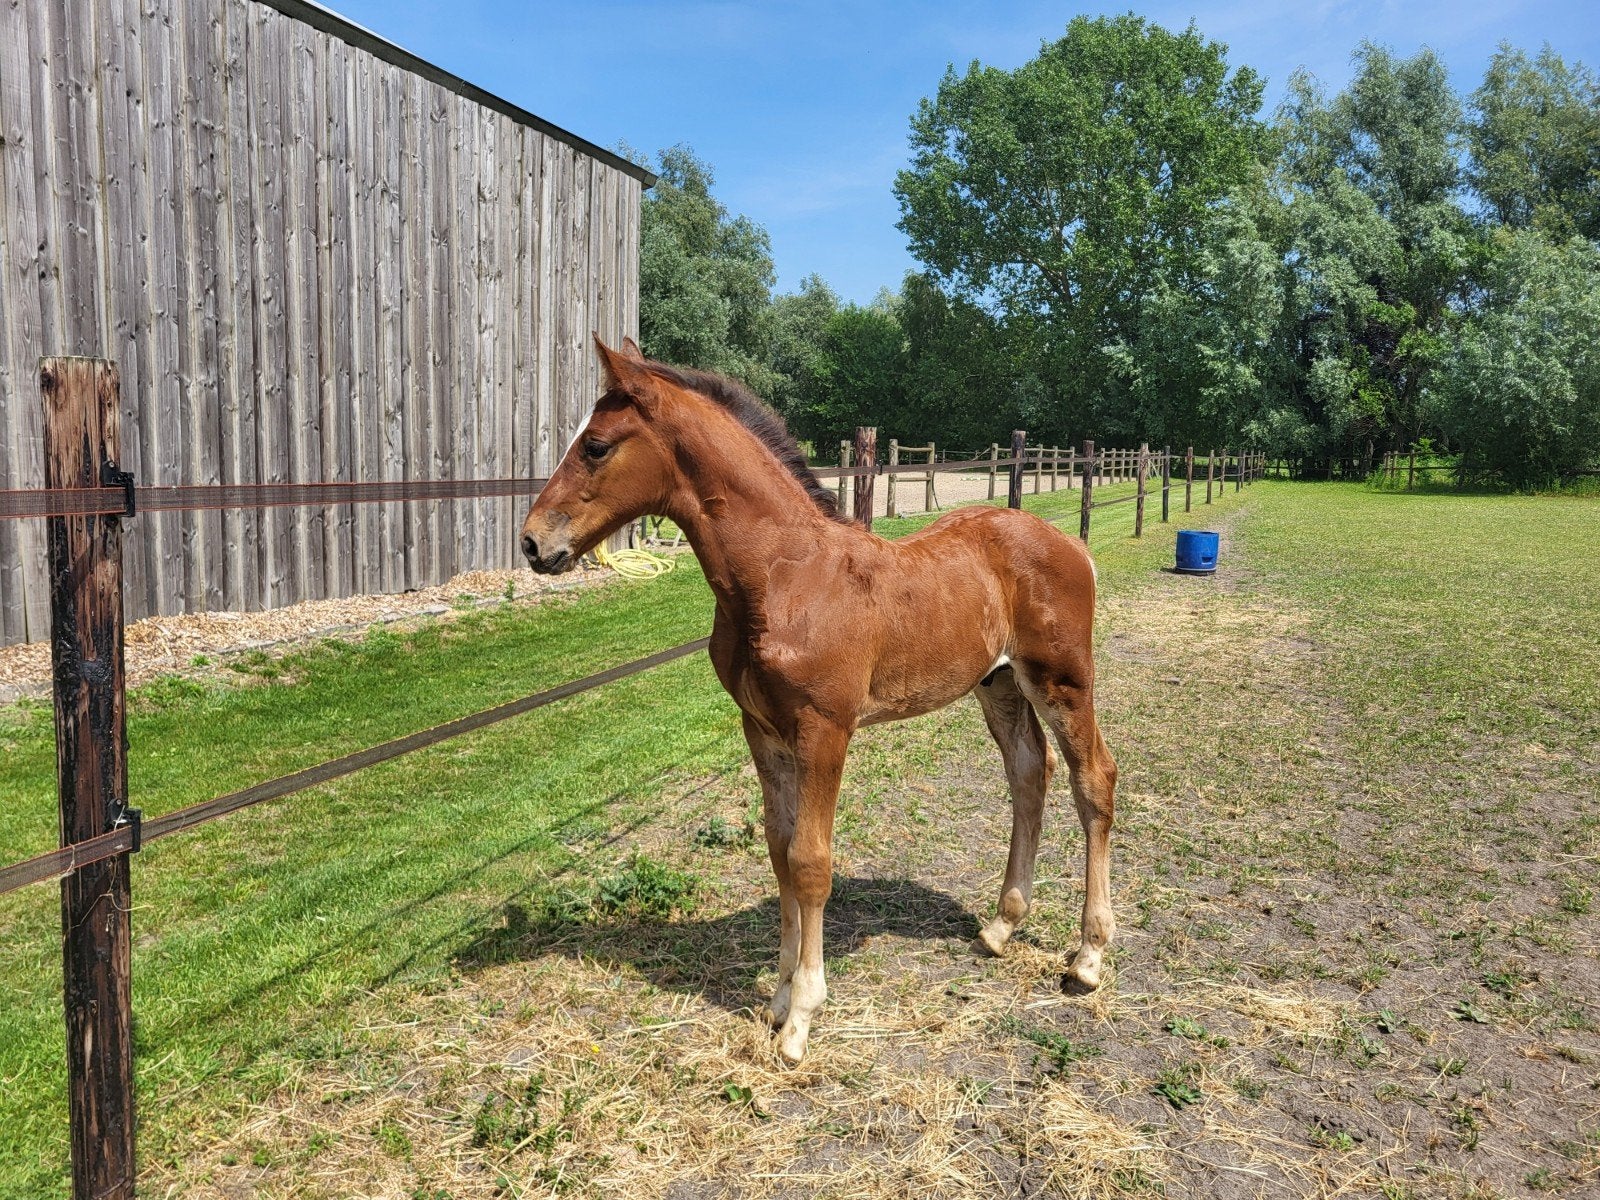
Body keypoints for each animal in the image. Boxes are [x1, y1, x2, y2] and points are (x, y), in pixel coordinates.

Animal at [520, 336, 1117, 1064]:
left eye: (597, 446)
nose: (532, 542)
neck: (784, 573)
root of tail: (1072, 545)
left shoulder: (826, 729)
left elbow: (810, 862)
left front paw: (802, 1017)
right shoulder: (761, 728)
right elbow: (778, 851)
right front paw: (777, 999)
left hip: (1063, 679)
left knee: (1093, 778)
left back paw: (1087, 958)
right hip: (998, 683)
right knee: (1030, 773)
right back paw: (1002, 925)